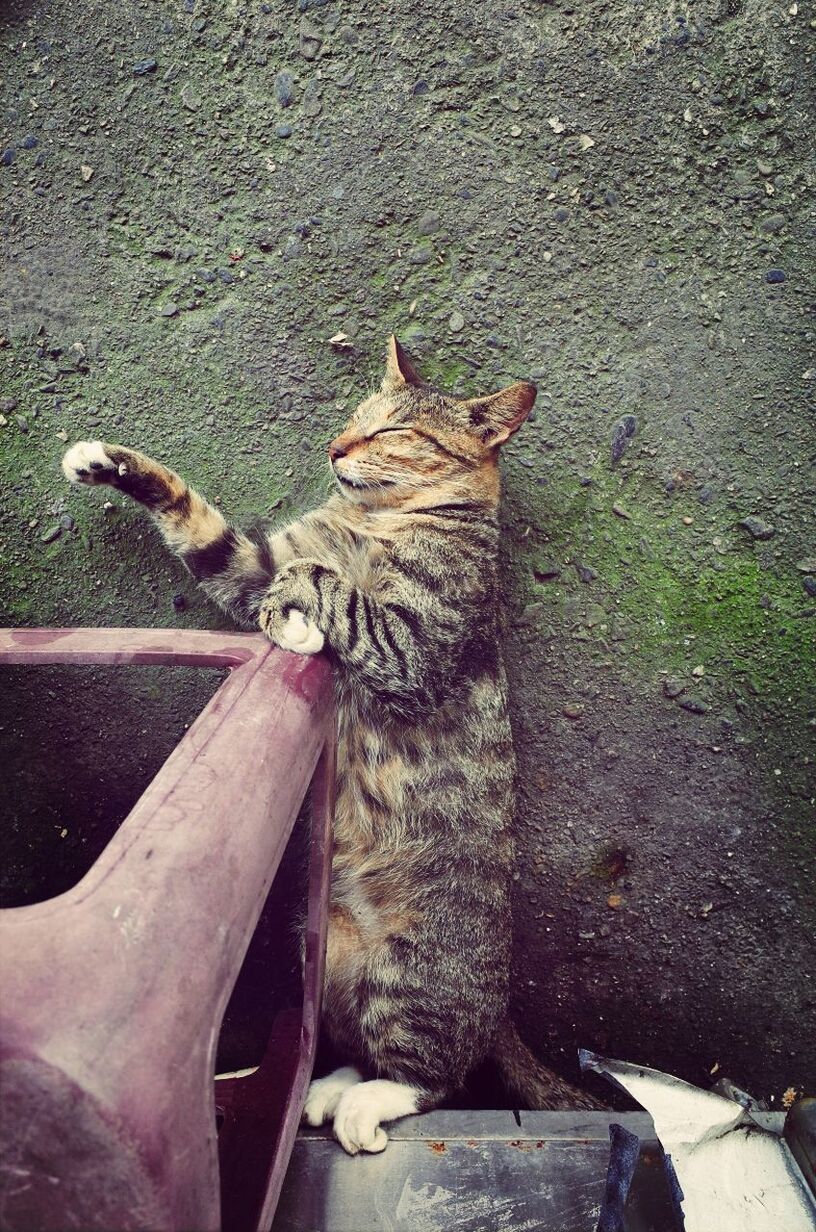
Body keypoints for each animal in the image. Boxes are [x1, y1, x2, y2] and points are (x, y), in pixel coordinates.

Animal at [62, 337, 601, 1153]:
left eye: (394, 431)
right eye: (355, 415)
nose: (335, 445)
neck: (377, 518)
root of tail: (501, 1004)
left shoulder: (415, 647)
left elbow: (321, 581)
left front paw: (301, 619)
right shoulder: (248, 563)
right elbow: (206, 528)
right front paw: (106, 462)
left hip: (411, 980)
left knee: (430, 1077)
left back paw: (364, 1108)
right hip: (320, 957)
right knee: (350, 1042)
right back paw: (326, 1089)